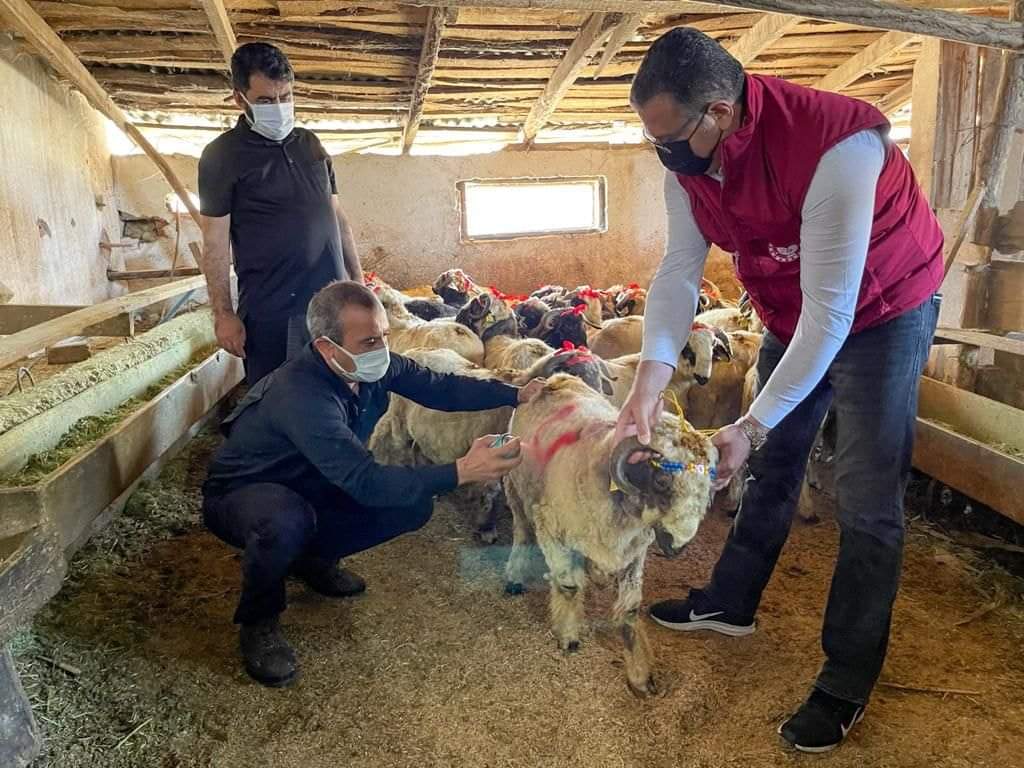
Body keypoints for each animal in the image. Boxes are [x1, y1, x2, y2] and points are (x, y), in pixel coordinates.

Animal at [501, 376, 712, 700]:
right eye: (662, 480)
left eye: (709, 481)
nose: (679, 544)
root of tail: (555, 379)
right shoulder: (553, 531)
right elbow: (569, 587)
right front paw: (568, 636)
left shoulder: (634, 554)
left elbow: (629, 610)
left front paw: (640, 675)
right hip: (514, 488)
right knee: (522, 531)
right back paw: (515, 575)